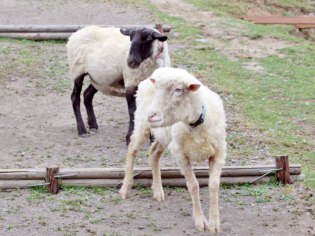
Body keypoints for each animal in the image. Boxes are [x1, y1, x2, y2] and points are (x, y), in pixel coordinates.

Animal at [120, 67, 227, 232]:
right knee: (132, 148)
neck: (195, 124)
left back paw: (158, 191)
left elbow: (214, 185)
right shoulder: (181, 156)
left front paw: (214, 223)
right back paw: (125, 188)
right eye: (158, 89)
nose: (152, 115)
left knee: (153, 153)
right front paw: (200, 220)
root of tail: (158, 71)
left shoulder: (218, 154)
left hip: (164, 134)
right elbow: (193, 185)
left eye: (178, 90)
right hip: (142, 123)